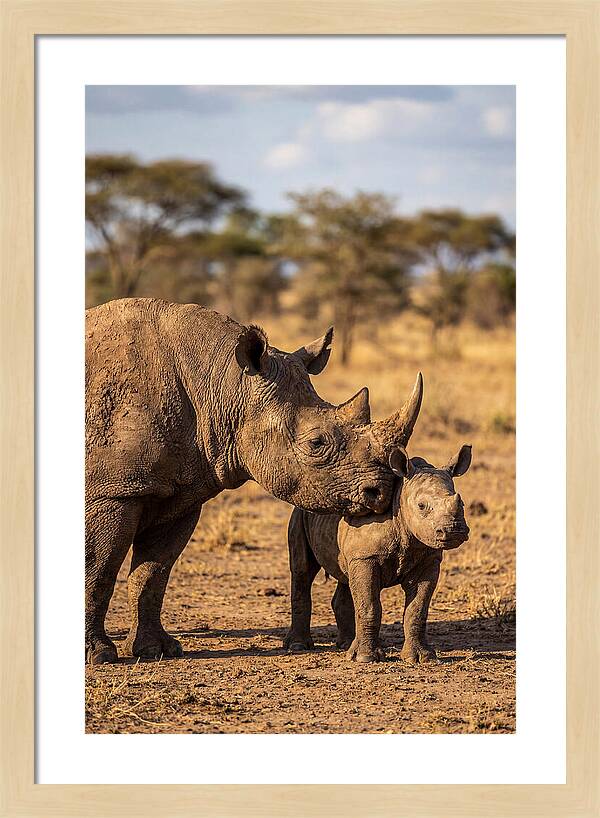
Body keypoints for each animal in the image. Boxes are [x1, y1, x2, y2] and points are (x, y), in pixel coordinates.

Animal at [85, 298, 422, 664]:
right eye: (316, 443)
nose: (381, 492)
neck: (223, 384)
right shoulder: (113, 491)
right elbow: (98, 567)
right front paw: (99, 655)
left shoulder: (181, 492)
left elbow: (153, 573)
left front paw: (156, 650)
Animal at [283, 442, 472, 663]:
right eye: (421, 506)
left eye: (462, 503)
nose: (454, 530)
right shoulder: (366, 557)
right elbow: (369, 606)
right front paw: (366, 658)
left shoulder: (428, 560)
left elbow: (417, 609)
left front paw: (422, 658)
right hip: (299, 513)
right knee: (302, 571)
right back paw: (298, 646)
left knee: (345, 576)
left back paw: (346, 645)